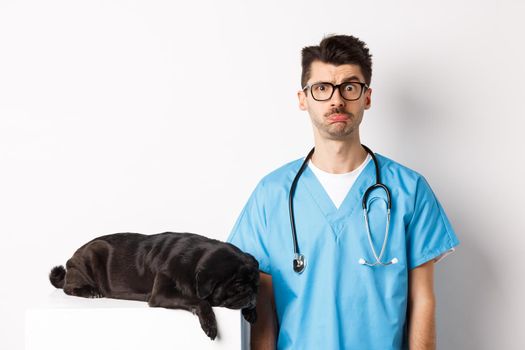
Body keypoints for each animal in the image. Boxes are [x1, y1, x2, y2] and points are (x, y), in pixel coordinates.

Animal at [50, 232, 258, 340]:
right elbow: (200, 301)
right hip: (91, 255)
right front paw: (210, 325)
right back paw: (90, 291)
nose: (252, 294)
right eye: (237, 285)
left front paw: (252, 312)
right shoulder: (162, 294)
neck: (196, 260)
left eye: (256, 283)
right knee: (68, 288)